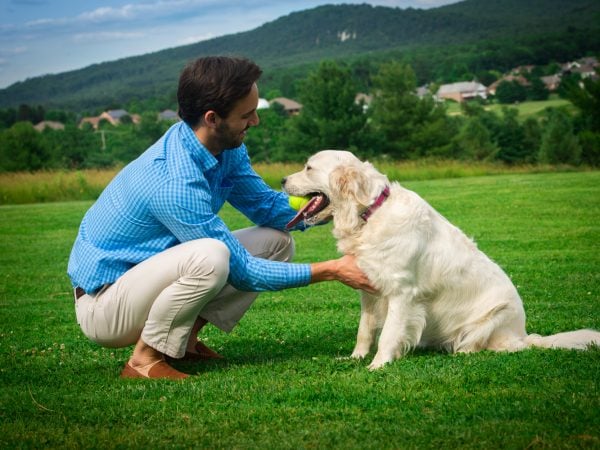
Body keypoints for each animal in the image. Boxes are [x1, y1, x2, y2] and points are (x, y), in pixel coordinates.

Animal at [282, 150, 600, 370]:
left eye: (309, 167)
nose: (282, 179)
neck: (369, 213)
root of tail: (523, 334)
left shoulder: (401, 292)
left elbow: (388, 333)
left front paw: (378, 364)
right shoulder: (369, 291)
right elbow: (365, 330)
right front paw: (356, 357)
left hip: (496, 314)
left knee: (496, 347)